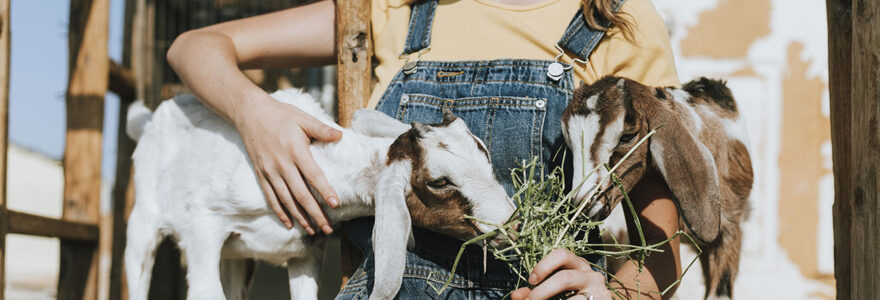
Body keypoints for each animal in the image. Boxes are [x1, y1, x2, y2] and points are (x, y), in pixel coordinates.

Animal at [120, 89, 512, 300]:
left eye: (482, 150)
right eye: (439, 182)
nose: (513, 222)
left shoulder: (305, 252)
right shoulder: (203, 228)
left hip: (235, 257)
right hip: (143, 224)